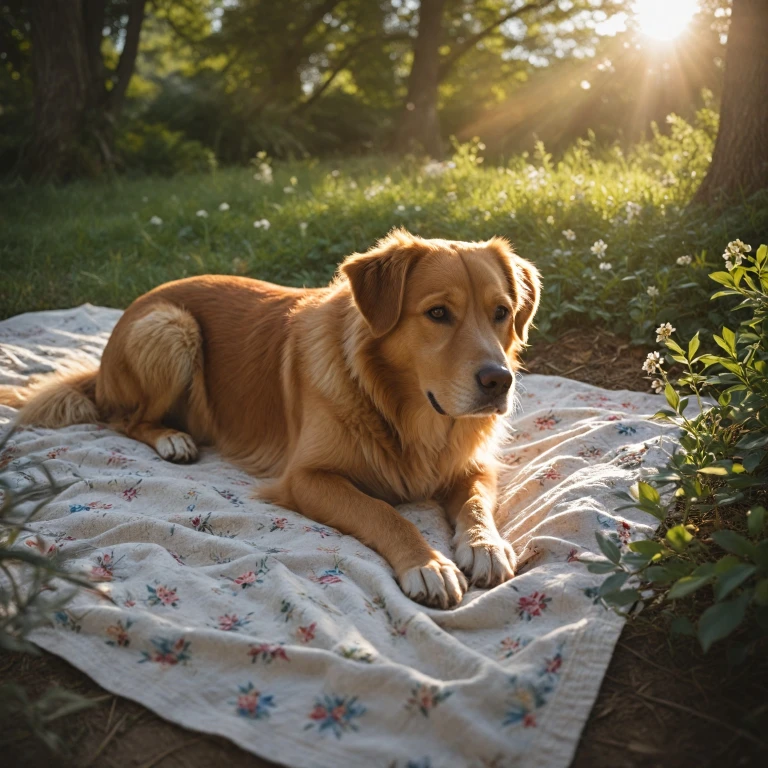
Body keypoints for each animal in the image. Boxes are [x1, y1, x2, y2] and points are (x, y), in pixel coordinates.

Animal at [3, 226, 540, 608]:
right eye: (437, 314)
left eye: (501, 312)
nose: (498, 382)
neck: (402, 410)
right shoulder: (307, 478)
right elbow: (383, 512)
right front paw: (427, 564)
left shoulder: (473, 466)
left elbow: (475, 504)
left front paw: (485, 545)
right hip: (172, 327)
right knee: (123, 420)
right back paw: (172, 439)